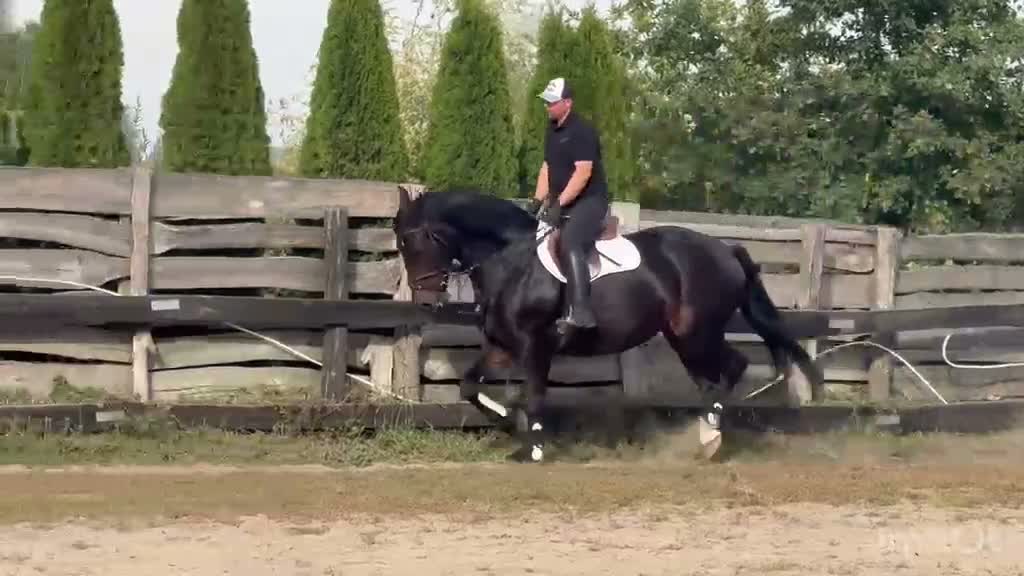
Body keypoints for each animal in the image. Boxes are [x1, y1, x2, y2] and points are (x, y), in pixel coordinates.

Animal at [393, 185, 823, 462]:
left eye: (412, 241)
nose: (426, 300)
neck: (512, 261)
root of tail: (726, 249)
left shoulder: (536, 346)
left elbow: (535, 395)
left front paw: (534, 448)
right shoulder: (502, 347)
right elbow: (468, 386)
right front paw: (508, 420)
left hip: (696, 332)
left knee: (733, 367)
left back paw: (708, 439)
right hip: (683, 337)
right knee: (711, 379)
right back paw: (706, 437)